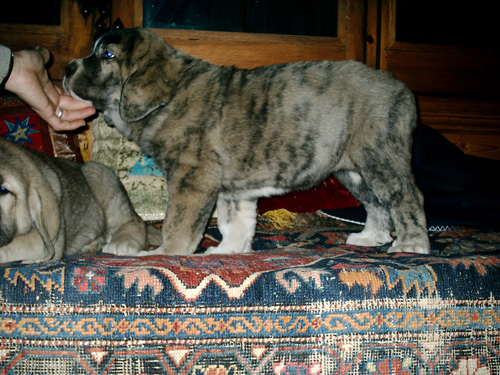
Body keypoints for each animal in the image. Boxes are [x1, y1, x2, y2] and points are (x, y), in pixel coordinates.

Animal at [62, 27, 430, 256]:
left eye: (108, 55)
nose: (66, 68)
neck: (170, 96)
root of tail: (402, 88)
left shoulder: (192, 178)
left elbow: (178, 222)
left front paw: (167, 253)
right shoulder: (232, 189)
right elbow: (234, 222)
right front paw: (228, 251)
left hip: (379, 158)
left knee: (406, 198)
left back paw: (411, 245)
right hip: (353, 171)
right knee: (377, 203)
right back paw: (372, 237)